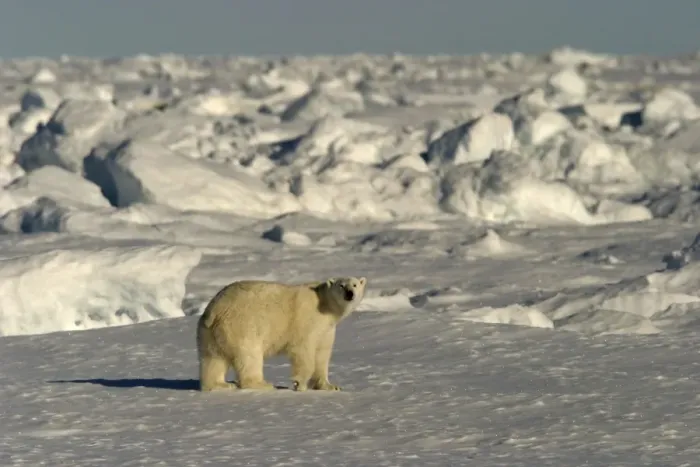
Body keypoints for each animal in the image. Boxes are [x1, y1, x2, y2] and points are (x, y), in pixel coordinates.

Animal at [196, 276, 367, 392]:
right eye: (341, 285)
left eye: (355, 284)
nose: (350, 293)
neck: (324, 304)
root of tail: (215, 311)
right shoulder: (308, 321)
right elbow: (304, 350)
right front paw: (299, 383)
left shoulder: (327, 329)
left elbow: (322, 354)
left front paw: (330, 386)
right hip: (241, 327)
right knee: (249, 357)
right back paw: (263, 384)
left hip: (209, 334)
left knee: (213, 360)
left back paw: (221, 384)